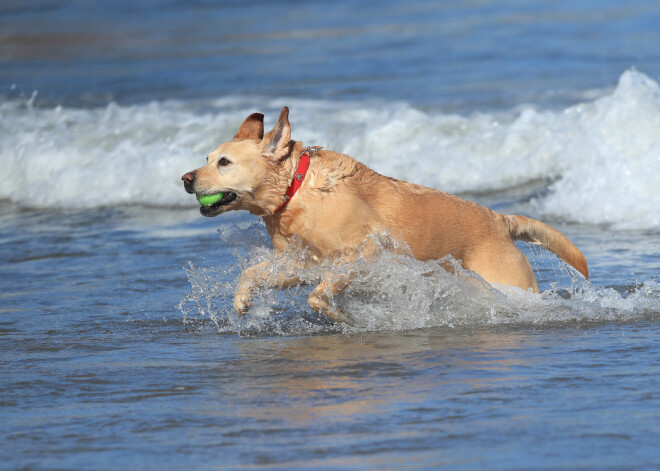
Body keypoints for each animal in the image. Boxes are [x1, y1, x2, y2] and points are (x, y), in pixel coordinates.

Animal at [180, 107, 588, 322]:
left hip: (507, 282)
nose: (185, 179)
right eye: (206, 159)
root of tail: (500, 220)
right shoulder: (300, 264)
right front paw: (241, 300)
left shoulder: (365, 254)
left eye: (224, 162)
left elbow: (318, 295)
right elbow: (252, 272)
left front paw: (342, 316)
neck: (297, 188)